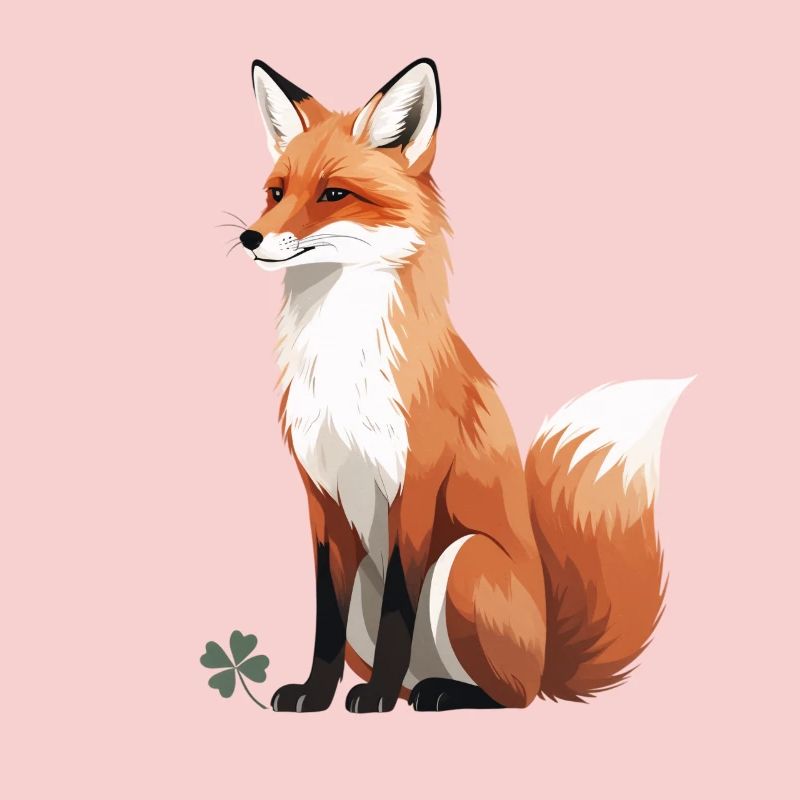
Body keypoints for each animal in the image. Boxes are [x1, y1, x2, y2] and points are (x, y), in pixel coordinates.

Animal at [235, 57, 691, 712]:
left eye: (333, 194)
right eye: (276, 193)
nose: (249, 237)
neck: (340, 364)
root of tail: (549, 658)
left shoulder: (415, 485)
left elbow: (400, 605)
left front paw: (370, 699)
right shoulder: (320, 496)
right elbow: (325, 614)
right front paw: (315, 694)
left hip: (465, 558)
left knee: (511, 695)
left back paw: (438, 694)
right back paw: (411, 689)